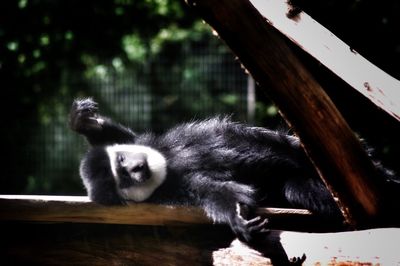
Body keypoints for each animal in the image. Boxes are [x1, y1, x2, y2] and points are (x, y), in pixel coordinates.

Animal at [69, 97, 394, 243]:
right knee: (297, 188)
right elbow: (220, 192)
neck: (169, 166)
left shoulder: (151, 143)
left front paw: (84, 122)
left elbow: (132, 136)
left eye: (122, 164)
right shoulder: (179, 188)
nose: (137, 169)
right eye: (122, 181)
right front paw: (238, 219)